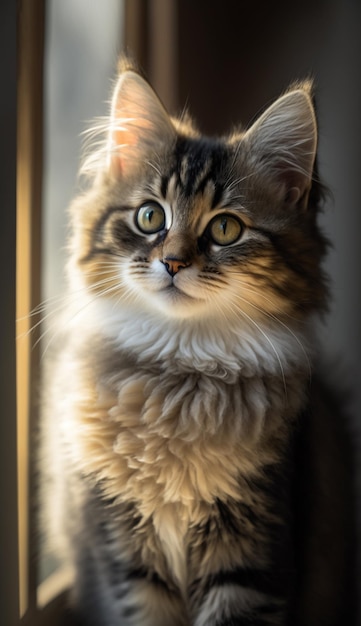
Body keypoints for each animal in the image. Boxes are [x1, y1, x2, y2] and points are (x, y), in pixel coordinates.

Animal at [42, 59, 354, 624]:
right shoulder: (124, 552)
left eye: (226, 228)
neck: (180, 368)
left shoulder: (252, 549)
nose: (173, 262)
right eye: (150, 217)